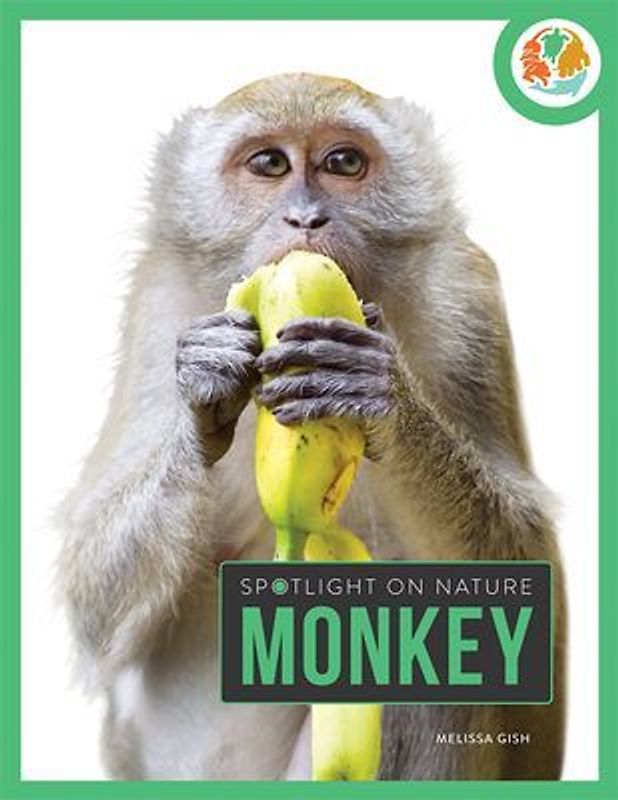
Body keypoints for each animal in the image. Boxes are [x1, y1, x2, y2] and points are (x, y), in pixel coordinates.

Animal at [59, 72, 566, 781]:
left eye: (343, 163)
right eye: (270, 164)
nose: (305, 218)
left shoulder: (467, 296)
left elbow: (522, 568)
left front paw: (378, 391)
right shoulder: (156, 300)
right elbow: (92, 594)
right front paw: (205, 390)